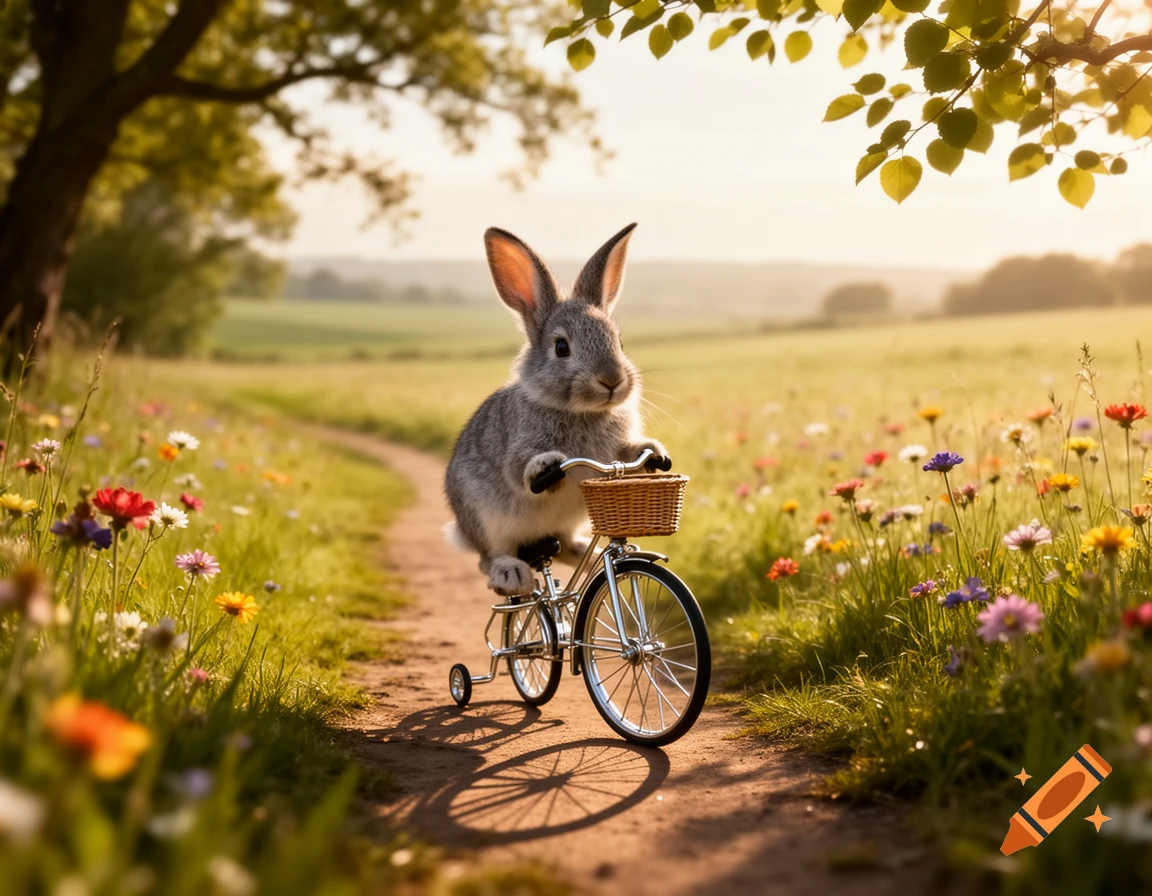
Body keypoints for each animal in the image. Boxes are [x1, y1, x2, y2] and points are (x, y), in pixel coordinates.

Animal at [444, 223, 666, 596]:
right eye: (561, 347)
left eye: (620, 343)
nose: (612, 379)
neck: (581, 411)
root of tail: (462, 529)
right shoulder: (519, 446)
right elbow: (519, 467)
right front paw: (546, 465)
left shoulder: (615, 458)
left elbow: (629, 453)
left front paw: (654, 452)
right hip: (485, 517)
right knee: (488, 557)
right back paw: (510, 573)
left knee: (561, 546)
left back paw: (584, 553)